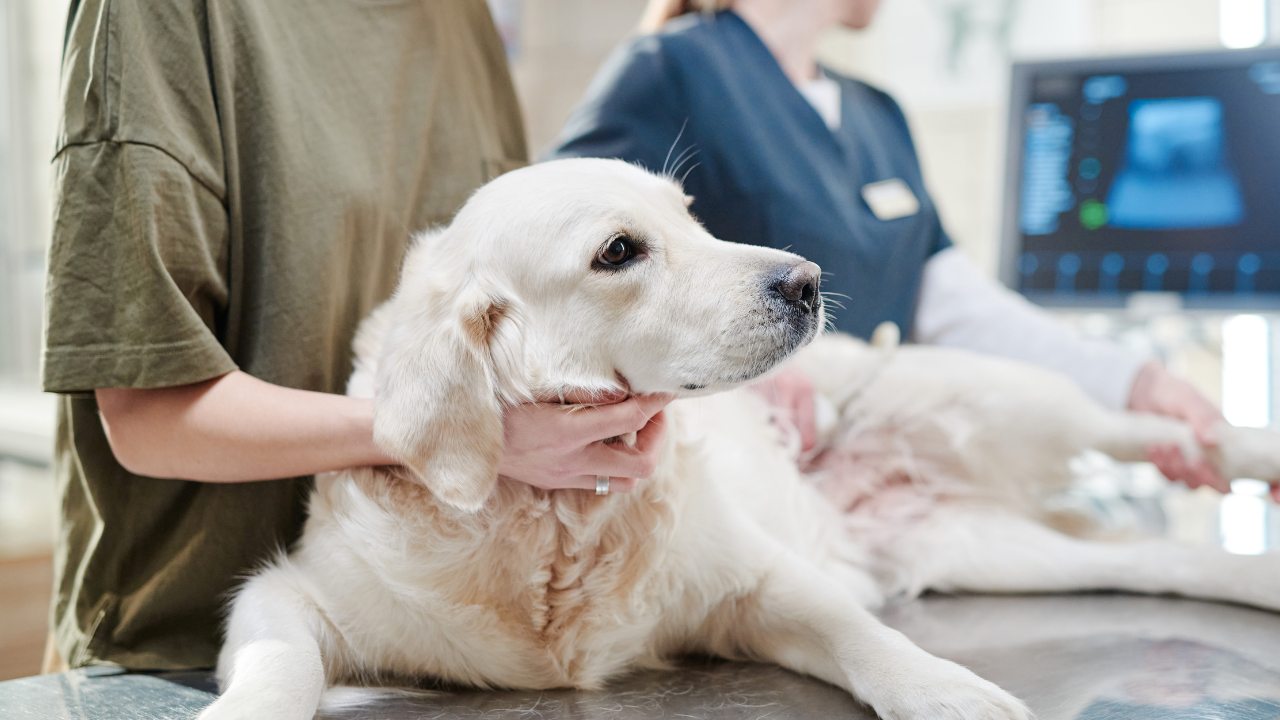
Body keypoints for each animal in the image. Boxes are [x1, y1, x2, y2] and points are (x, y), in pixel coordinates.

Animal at [197, 158, 1280, 717]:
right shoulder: (294, 594)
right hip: (989, 547)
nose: (805, 281)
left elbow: (864, 637)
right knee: (1157, 561)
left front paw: (946, 690)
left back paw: (1240, 448)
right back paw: (1254, 577)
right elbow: (280, 660)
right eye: (619, 251)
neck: (558, 521)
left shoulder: (755, 582)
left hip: (1004, 397)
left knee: (1148, 426)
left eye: (691, 216)